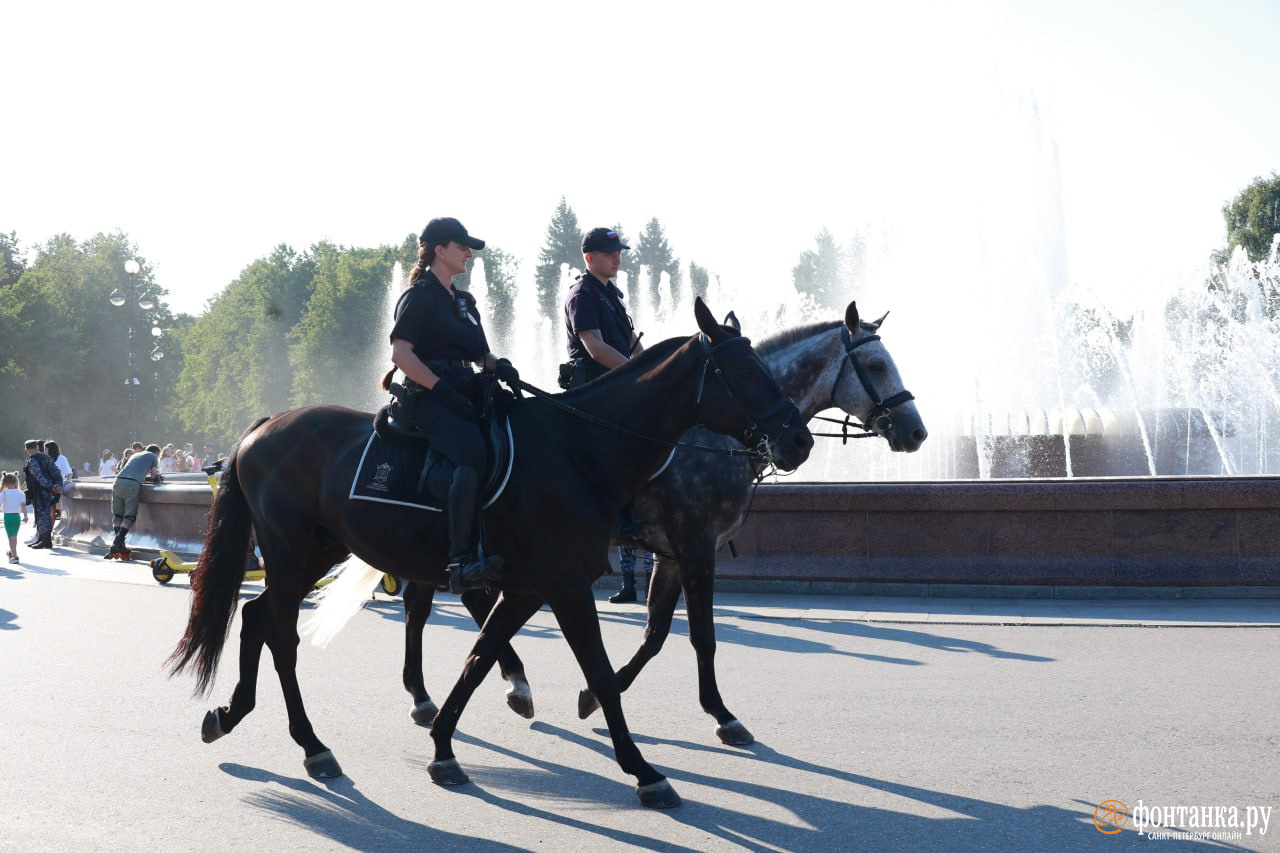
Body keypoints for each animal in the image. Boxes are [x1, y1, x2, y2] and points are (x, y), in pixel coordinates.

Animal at [170, 297, 808, 804]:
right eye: (744, 367)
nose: (798, 439)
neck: (580, 448)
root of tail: (264, 425)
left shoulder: (531, 586)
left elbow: (479, 658)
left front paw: (444, 747)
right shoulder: (571, 583)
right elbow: (603, 673)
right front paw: (644, 769)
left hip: (315, 554)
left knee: (258, 617)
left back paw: (232, 715)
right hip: (287, 549)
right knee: (280, 632)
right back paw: (311, 744)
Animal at [394, 300, 926, 742]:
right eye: (876, 365)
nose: (917, 432)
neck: (710, 434)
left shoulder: (671, 556)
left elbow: (655, 635)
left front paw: (594, 696)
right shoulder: (696, 547)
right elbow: (701, 635)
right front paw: (723, 715)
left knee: (434, 601)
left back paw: (453, 691)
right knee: (443, 601)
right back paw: (465, 690)